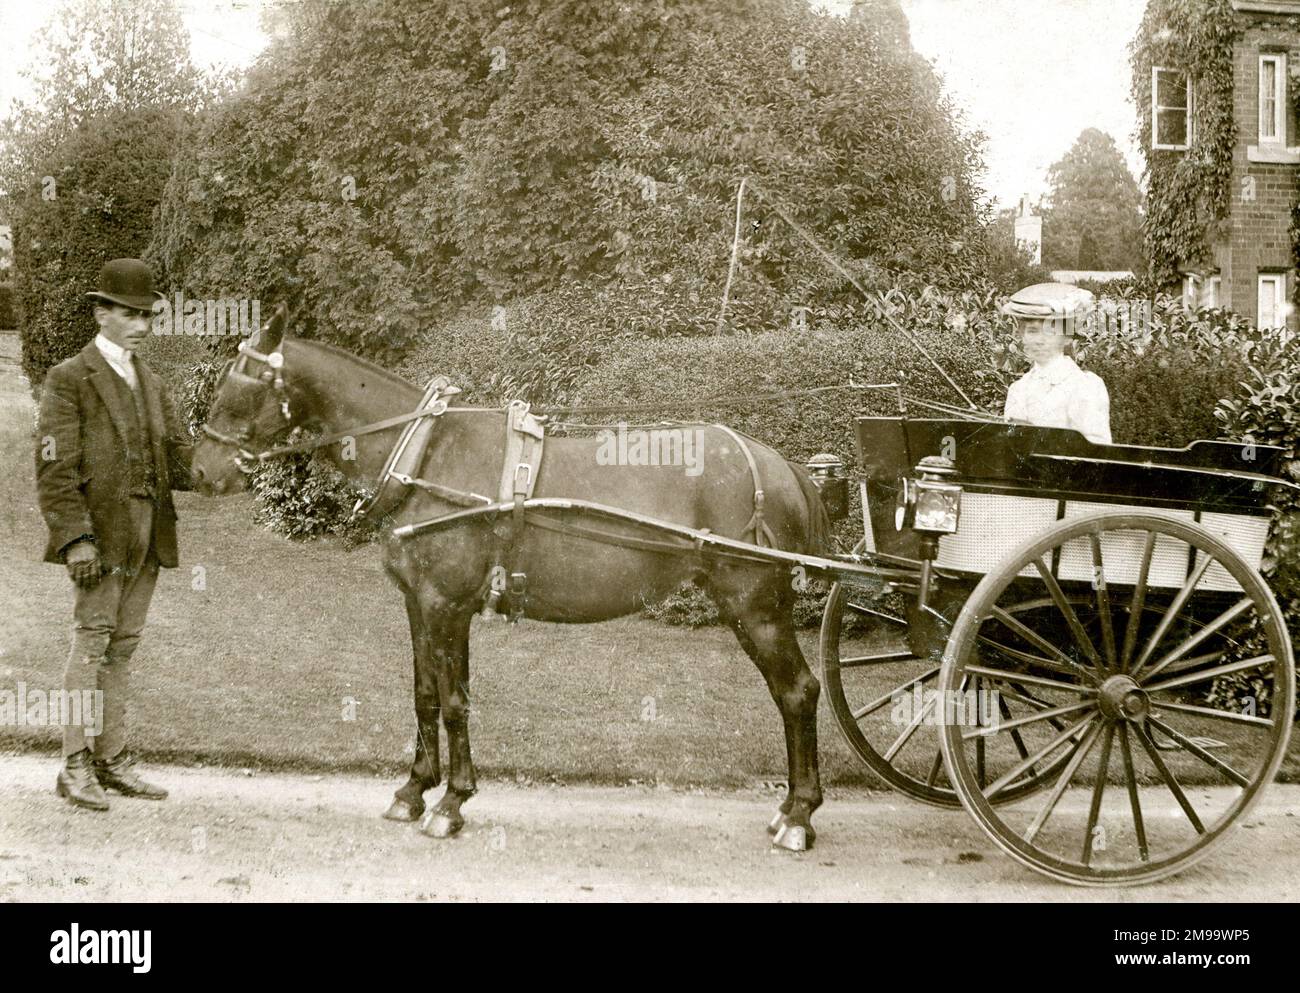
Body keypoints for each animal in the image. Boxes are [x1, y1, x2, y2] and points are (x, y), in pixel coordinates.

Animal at [192, 306, 832, 847]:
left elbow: (455, 702)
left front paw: (452, 802)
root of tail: (782, 466)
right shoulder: (418, 603)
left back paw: (799, 815)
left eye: (242, 385)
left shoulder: (446, 604)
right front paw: (413, 790)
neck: (426, 456)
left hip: (755, 605)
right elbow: (425, 695)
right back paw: (789, 809)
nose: (200, 470)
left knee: (798, 692)